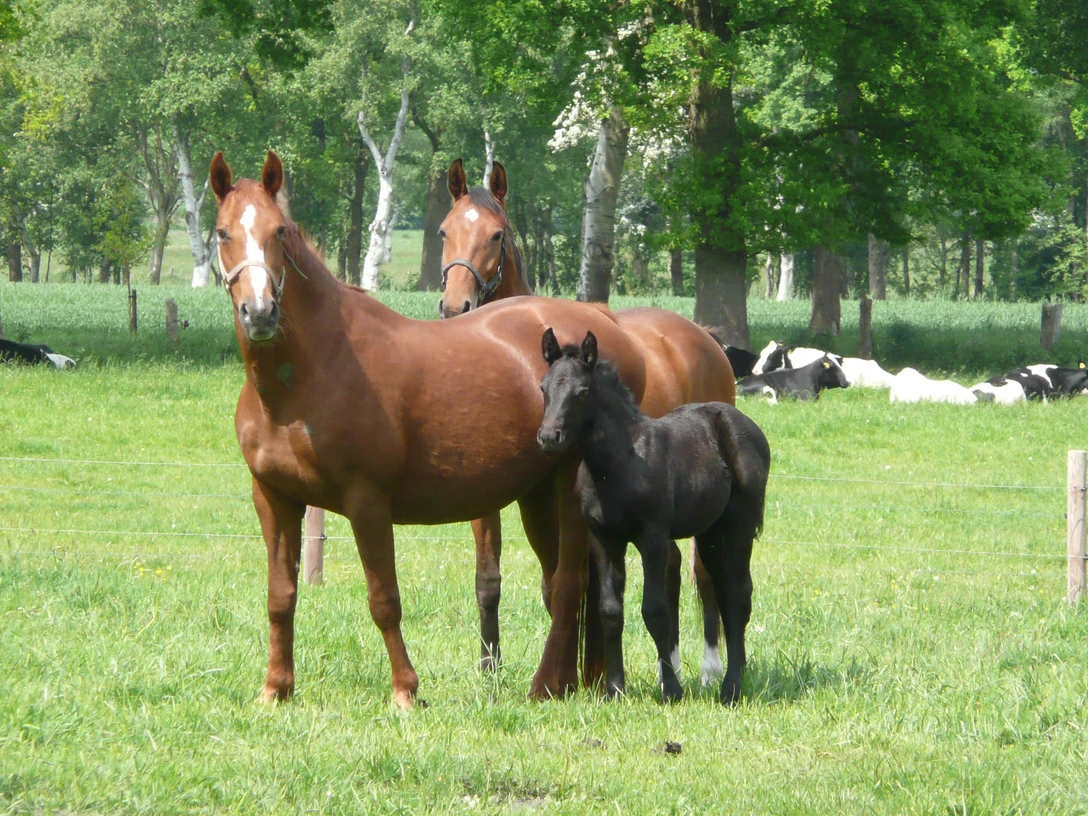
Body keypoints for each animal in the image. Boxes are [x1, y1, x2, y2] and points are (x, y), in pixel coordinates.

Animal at [212, 150, 661, 708]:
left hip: (568, 490)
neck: (310, 372)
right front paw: (275, 689)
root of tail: (609, 328)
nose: (259, 312)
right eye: (222, 232)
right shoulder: (274, 499)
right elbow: (280, 596)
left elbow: (384, 599)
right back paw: (579, 682)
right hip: (537, 494)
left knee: (568, 584)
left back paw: (545, 685)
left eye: (278, 231)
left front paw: (406, 691)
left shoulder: (367, 500)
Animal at [439, 157, 735, 688]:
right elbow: (496, 579)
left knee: (702, 573)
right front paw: (492, 667)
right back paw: (667, 664)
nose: (456, 307)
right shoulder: (509, 499)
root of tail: (703, 337)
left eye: (497, 235)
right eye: (444, 231)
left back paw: (707, 668)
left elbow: (568, 580)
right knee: (673, 566)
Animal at [538, 329, 771, 705]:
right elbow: (610, 611)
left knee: (737, 595)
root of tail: (744, 422)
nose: (548, 437)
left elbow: (655, 610)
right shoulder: (604, 540)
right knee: (722, 590)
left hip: (740, 524)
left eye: (582, 391)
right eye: (543, 388)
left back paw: (731, 687)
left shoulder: (652, 537)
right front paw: (615, 690)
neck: (616, 464)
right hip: (710, 532)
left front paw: (671, 690)